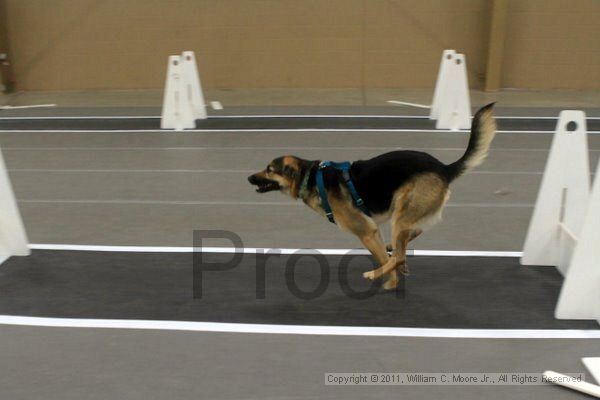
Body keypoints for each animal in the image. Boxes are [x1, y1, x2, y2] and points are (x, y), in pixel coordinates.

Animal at [248, 104, 496, 290]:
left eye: (269, 169)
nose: (249, 178)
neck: (311, 177)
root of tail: (444, 168)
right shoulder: (372, 231)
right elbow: (386, 255)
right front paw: (393, 277)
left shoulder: (366, 231)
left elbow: (385, 258)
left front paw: (391, 283)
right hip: (405, 214)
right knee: (410, 238)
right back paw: (395, 252)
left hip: (400, 214)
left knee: (399, 254)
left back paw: (376, 273)